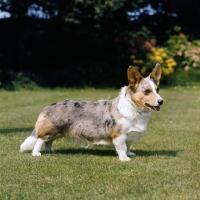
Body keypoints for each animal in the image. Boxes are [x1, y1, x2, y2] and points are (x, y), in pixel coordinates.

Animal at [19, 63, 163, 162]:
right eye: (147, 91)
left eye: (157, 90)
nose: (161, 101)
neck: (135, 109)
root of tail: (47, 107)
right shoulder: (119, 135)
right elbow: (122, 148)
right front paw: (125, 159)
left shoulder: (128, 136)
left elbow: (128, 147)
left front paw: (129, 154)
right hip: (50, 130)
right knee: (40, 140)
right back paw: (36, 153)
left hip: (57, 132)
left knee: (48, 142)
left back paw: (50, 151)